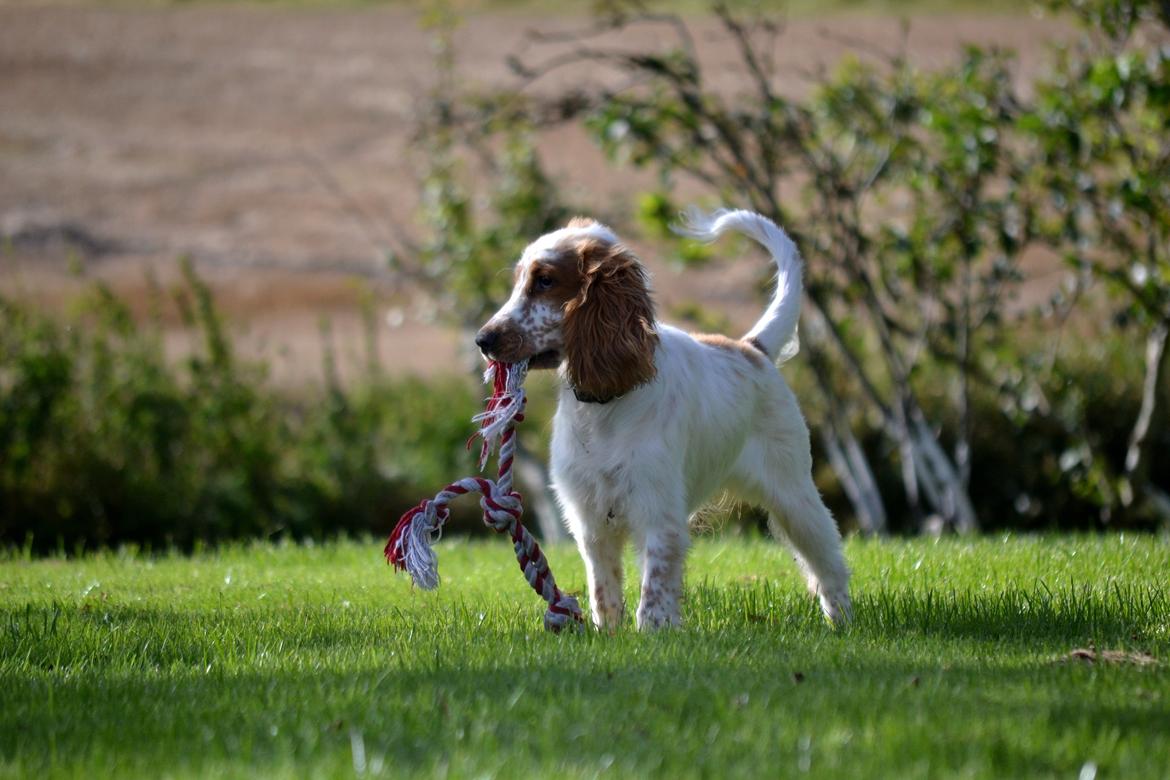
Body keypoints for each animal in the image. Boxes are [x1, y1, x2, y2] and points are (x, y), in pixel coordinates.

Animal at [472, 210, 851, 631]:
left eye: (545, 281)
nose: (483, 339)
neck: (604, 405)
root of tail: (752, 348)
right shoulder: (590, 522)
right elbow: (603, 590)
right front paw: (607, 634)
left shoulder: (657, 511)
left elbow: (653, 592)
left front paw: (654, 634)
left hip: (793, 493)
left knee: (828, 559)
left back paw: (842, 622)